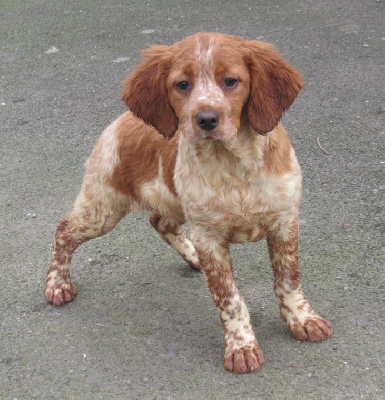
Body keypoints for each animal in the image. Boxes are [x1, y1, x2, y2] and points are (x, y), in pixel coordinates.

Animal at [45, 32, 330, 374]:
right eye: (182, 84)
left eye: (230, 81)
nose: (206, 119)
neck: (233, 163)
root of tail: (122, 120)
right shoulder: (209, 236)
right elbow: (229, 297)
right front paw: (241, 346)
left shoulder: (284, 221)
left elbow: (289, 278)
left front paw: (302, 319)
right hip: (103, 206)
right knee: (64, 229)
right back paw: (57, 284)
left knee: (160, 221)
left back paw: (193, 258)